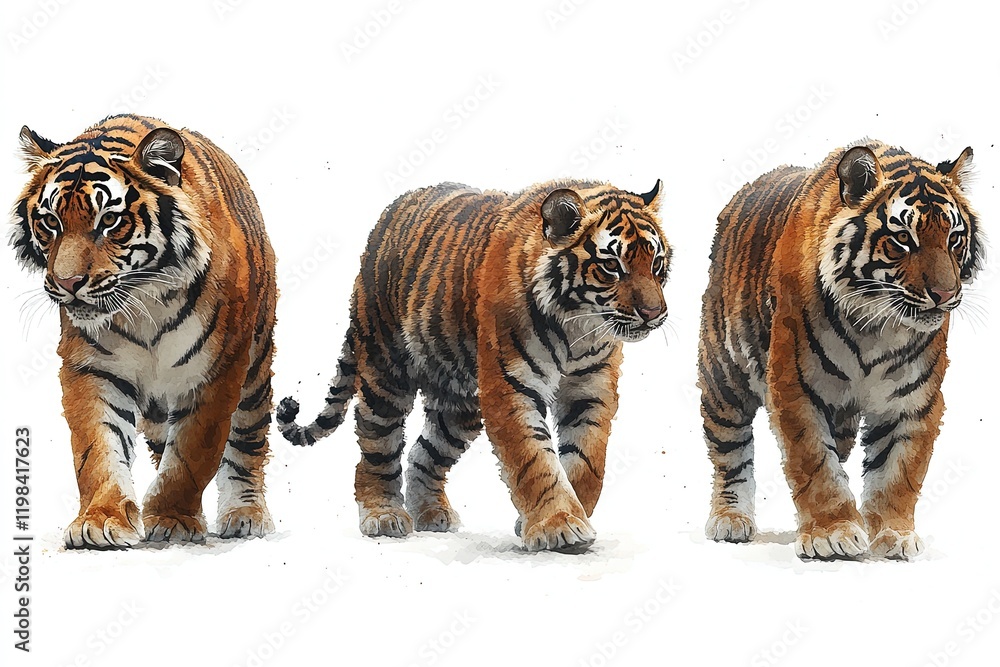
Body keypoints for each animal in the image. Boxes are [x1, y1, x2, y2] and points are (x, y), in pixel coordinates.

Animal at [10, 114, 278, 548]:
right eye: (50, 222)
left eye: (109, 220)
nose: (68, 283)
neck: (143, 302)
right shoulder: (90, 368)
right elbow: (96, 448)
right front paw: (100, 519)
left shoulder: (214, 373)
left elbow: (191, 455)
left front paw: (172, 519)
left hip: (254, 368)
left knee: (247, 442)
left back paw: (246, 515)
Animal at [277, 180, 670, 552]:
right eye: (611, 266)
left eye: (656, 264)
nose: (654, 313)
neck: (577, 328)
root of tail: (386, 219)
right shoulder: (510, 388)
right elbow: (534, 460)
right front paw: (558, 526)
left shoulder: (591, 390)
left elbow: (588, 461)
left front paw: (563, 517)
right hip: (385, 371)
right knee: (377, 447)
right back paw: (383, 514)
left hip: (460, 403)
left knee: (424, 452)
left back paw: (431, 513)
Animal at [699, 139, 983, 560]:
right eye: (903, 240)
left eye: (954, 239)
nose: (945, 295)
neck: (879, 327)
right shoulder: (795, 388)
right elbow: (815, 463)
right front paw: (830, 534)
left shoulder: (914, 400)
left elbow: (897, 470)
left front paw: (894, 535)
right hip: (724, 379)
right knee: (729, 450)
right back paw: (730, 519)